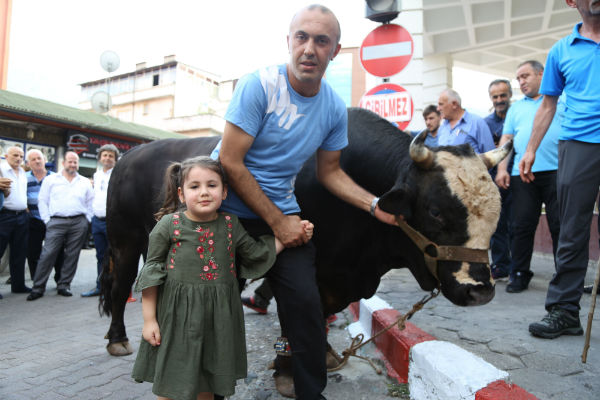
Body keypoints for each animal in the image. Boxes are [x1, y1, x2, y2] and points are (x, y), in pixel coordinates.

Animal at [99, 107, 510, 356]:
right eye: (435, 211)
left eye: (497, 214)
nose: (480, 291)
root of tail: (129, 156)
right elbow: (301, 313)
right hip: (124, 241)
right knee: (120, 288)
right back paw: (118, 339)